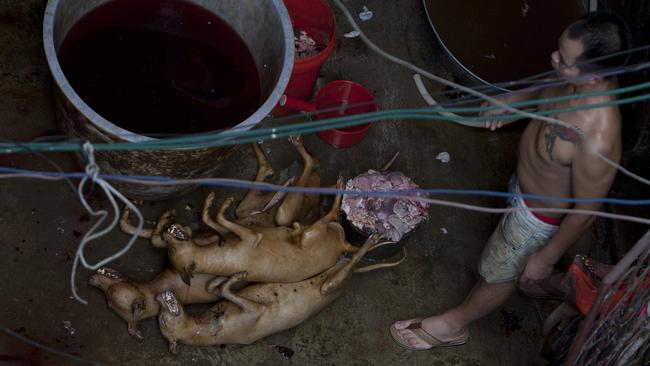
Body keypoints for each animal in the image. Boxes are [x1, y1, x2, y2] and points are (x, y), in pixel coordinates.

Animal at [155, 234, 402, 352]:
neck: (206, 325)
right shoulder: (254, 311)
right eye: (162, 321)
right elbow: (226, 290)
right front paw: (234, 278)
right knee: (348, 267)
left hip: (331, 270)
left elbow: (213, 287)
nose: (160, 296)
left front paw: (229, 277)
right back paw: (369, 244)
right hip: (331, 285)